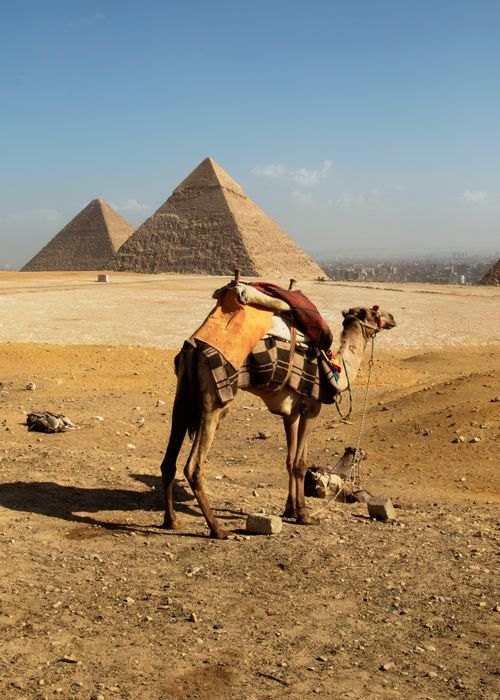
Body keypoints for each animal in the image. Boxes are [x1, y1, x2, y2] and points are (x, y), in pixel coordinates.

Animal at [160, 304, 396, 538]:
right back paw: (218, 529)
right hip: (214, 403)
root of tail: (194, 348)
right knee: (194, 466)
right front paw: (305, 516)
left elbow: (290, 461)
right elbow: (300, 463)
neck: (334, 369)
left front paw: (290, 510)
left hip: (183, 395)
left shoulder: (291, 412)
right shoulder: (312, 406)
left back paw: (172, 521)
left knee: (169, 461)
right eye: (374, 313)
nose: (392, 318)